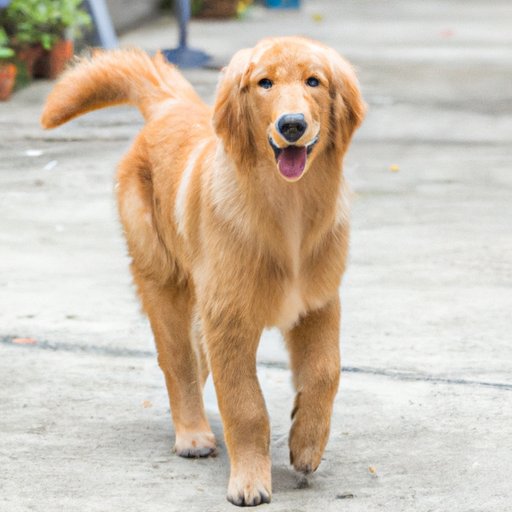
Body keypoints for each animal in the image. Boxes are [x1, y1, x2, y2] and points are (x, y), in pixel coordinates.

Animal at [42, 38, 366, 506]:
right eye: (264, 83)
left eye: (313, 81)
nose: (291, 125)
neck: (288, 207)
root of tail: (171, 106)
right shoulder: (229, 318)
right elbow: (245, 406)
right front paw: (249, 481)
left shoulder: (318, 303)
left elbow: (326, 372)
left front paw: (307, 443)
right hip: (163, 282)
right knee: (177, 363)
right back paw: (192, 434)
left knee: (196, 363)